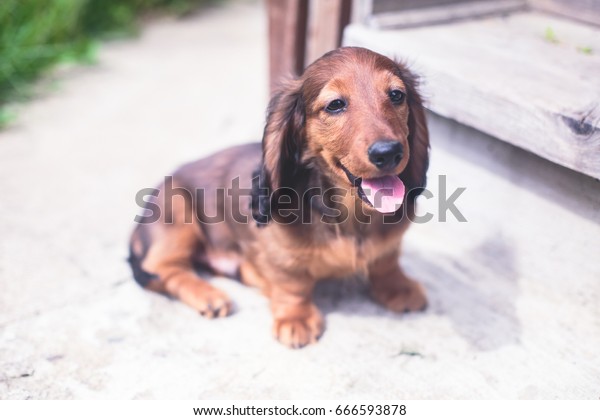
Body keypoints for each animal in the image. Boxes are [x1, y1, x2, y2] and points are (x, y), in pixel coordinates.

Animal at [130, 46, 432, 348]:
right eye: (335, 105)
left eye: (397, 95)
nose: (388, 152)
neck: (351, 214)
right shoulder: (277, 248)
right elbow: (292, 282)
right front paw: (296, 318)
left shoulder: (390, 243)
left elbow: (386, 261)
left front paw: (398, 287)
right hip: (177, 213)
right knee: (163, 268)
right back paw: (209, 296)